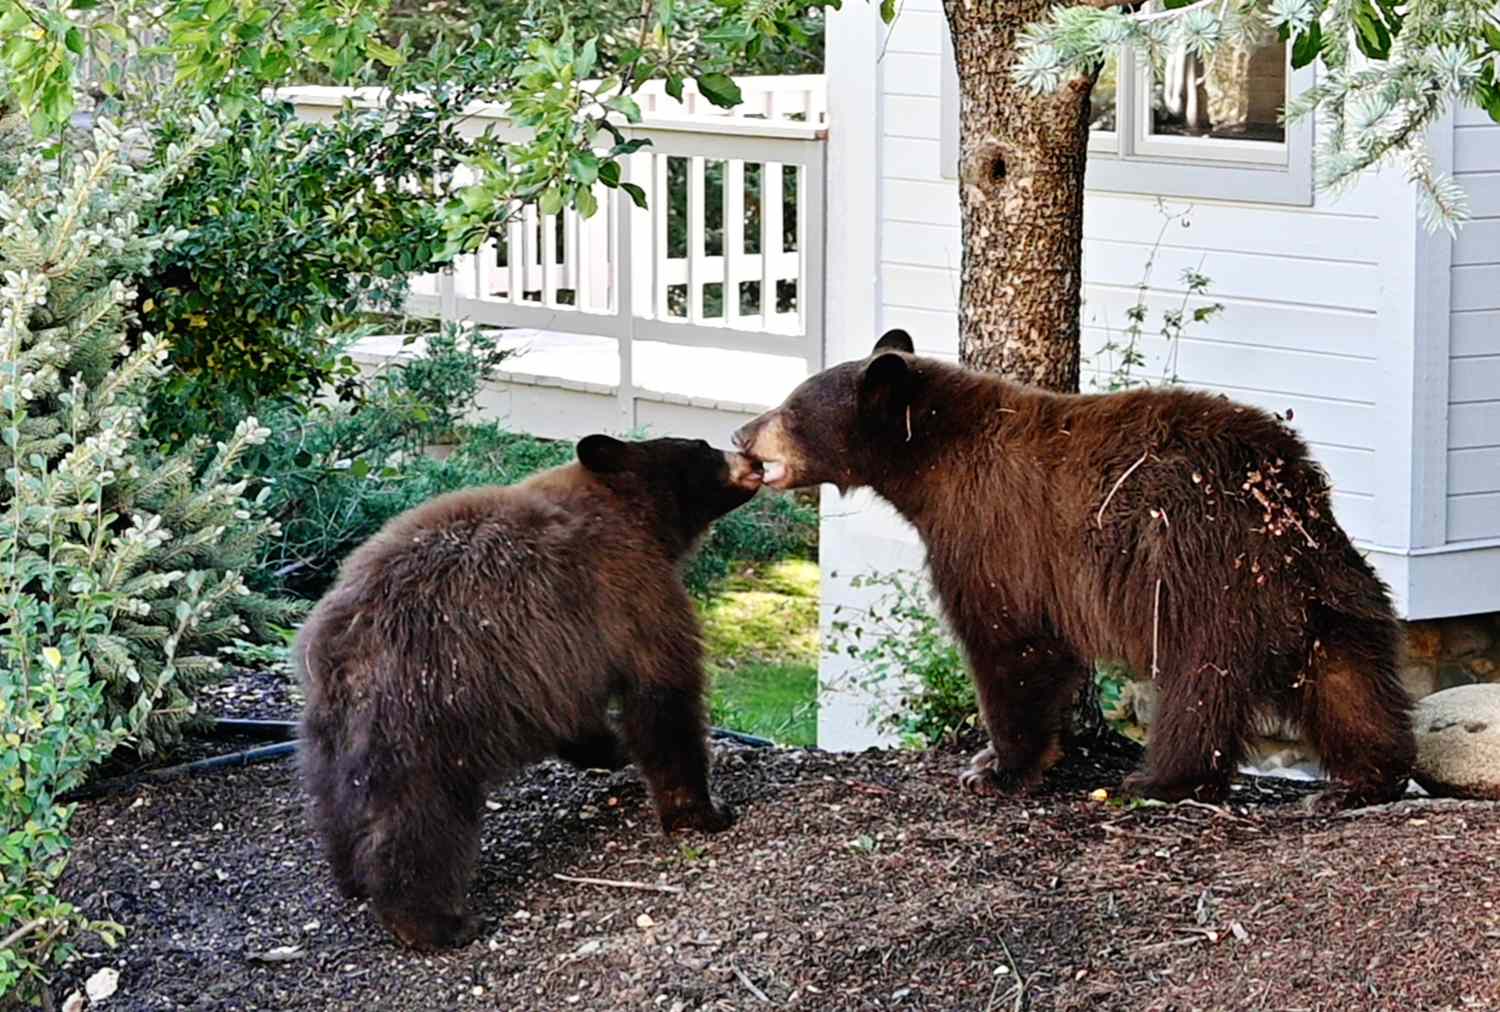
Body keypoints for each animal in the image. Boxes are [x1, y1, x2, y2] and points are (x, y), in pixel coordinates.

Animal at [294, 435, 763, 949]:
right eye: (701, 448)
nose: (753, 459)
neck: (629, 507)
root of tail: (342, 648)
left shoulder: (554, 666)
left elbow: (577, 717)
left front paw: (611, 750)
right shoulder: (634, 591)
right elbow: (663, 698)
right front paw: (704, 811)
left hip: (328, 734)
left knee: (335, 802)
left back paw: (350, 876)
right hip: (428, 710)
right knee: (418, 817)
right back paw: (435, 922)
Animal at [734, 329, 1415, 810]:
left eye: (790, 408)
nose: (741, 433)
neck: (933, 463)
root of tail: (1285, 497)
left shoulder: (993, 532)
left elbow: (1011, 643)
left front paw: (997, 765)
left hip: (1205, 578)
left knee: (1199, 686)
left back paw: (1162, 779)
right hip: (1332, 587)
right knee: (1351, 680)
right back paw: (1365, 779)